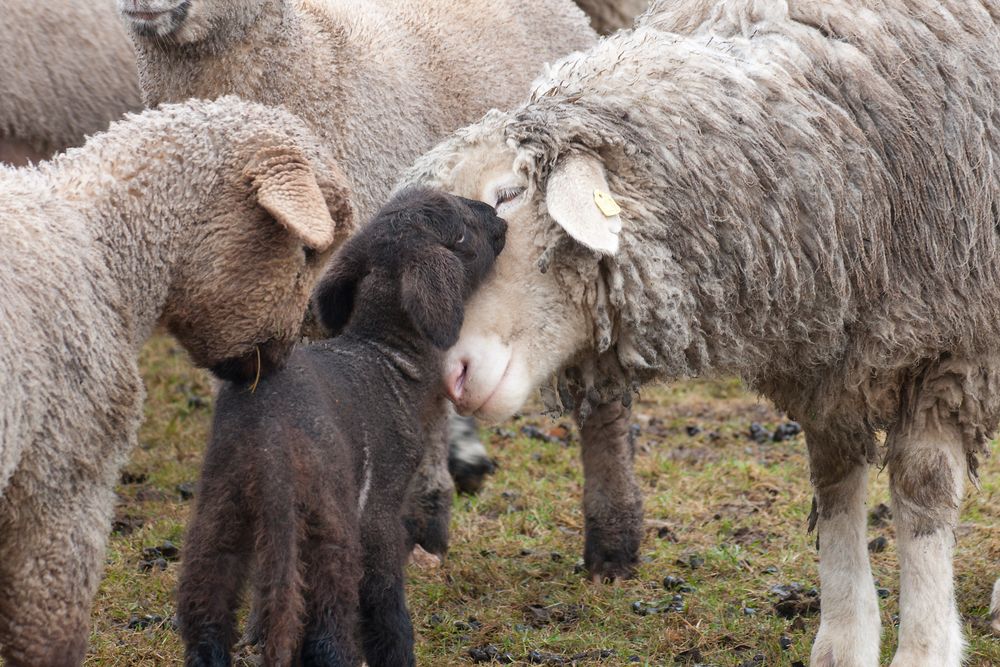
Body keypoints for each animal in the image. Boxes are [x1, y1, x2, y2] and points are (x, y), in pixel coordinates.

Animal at [402, 2, 1000, 664]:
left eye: (507, 195)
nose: (449, 372)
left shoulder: (951, 346)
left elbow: (922, 495)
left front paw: (924, 648)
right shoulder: (826, 359)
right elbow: (836, 486)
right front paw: (843, 643)